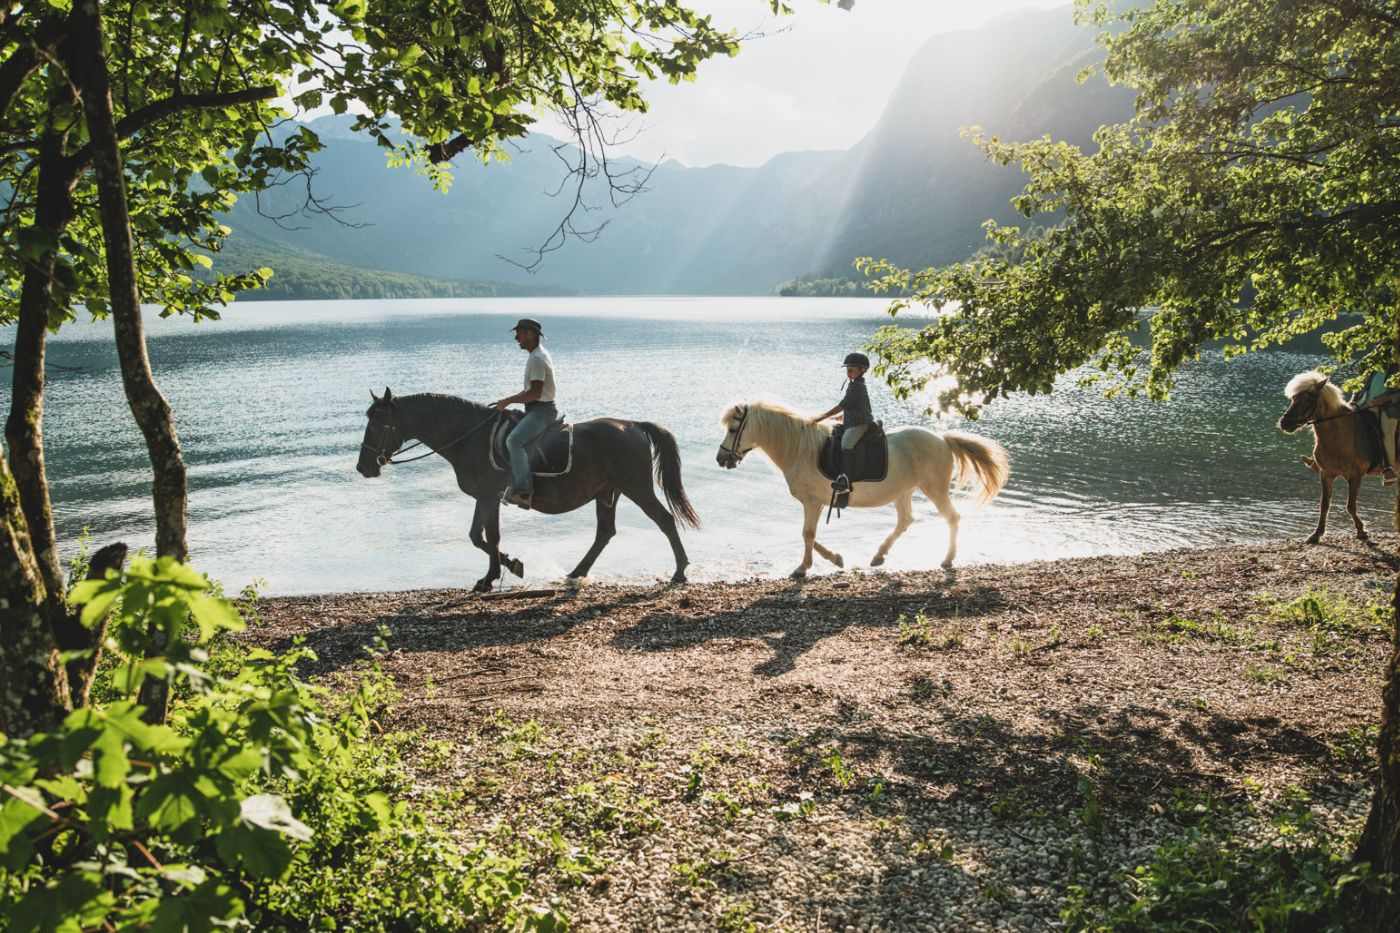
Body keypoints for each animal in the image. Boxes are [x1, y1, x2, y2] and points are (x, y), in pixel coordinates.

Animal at [352, 389, 697, 591]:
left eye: (379, 423)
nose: (363, 467)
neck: (468, 437)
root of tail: (634, 425)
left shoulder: (489, 497)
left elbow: (488, 537)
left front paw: (497, 574)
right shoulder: (484, 497)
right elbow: (480, 536)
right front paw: (501, 570)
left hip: (636, 487)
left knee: (664, 521)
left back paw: (680, 571)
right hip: (607, 492)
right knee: (605, 533)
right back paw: (577, 572)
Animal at [722, 400, 1008, 574]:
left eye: (734, 428)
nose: (721, 459)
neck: (800, 449)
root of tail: (943, 439)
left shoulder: (812, 502)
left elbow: (807, 534)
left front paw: (803, 568)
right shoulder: (816, 503)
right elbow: (810, 535)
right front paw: (836, 559)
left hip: (934, 488)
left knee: (952, 517)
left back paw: (947, 559)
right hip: (904, 491)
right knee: (905, 520)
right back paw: (879, 556)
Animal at [1282, 367, 1388, 540]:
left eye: (1308, 400)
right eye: (1294, 399)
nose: (1284, 423)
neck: (1338, 437)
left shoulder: (1355, 475)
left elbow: (1350, 506)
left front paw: (1361, 530)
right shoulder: (1326, 474)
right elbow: (1324, 505)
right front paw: (1316, 534)